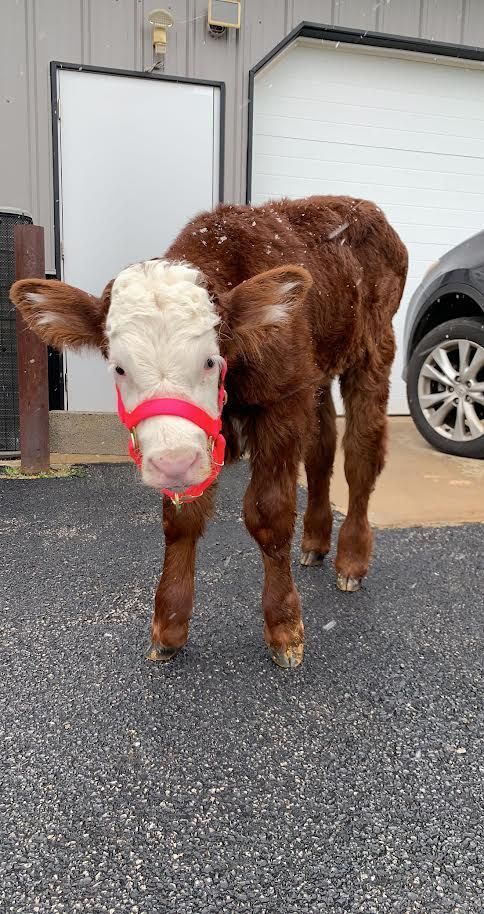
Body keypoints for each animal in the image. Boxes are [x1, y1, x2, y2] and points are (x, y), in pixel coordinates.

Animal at [11, 195, 408, 669]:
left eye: (209, 361)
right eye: (119, 368)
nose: (173, 463)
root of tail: (360, 205)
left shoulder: (282, 402)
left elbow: (269, 514)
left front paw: (284, 627)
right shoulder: (228, 426)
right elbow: (180, 520)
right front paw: (169, 625)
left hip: (373, 349)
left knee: (361, 455)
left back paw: (351, 560)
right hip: (315, 372)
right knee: (322, 448)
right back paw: (314, 540)